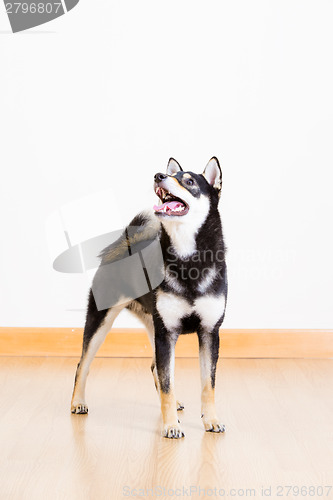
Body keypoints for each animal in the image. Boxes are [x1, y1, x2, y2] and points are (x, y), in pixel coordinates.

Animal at [69, 156, 226, 438]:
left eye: (189, 181)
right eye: (170, 175)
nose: (159, 176)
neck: (189, 259)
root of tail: (121, 245)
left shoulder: (209, 332)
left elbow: (207, 385)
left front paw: (211, 420)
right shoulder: (167, 334)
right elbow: (167, 383)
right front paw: (171, 425)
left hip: (154, 327)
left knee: (156, 369)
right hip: (102, 321)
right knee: (82, 365)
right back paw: (78, 402)